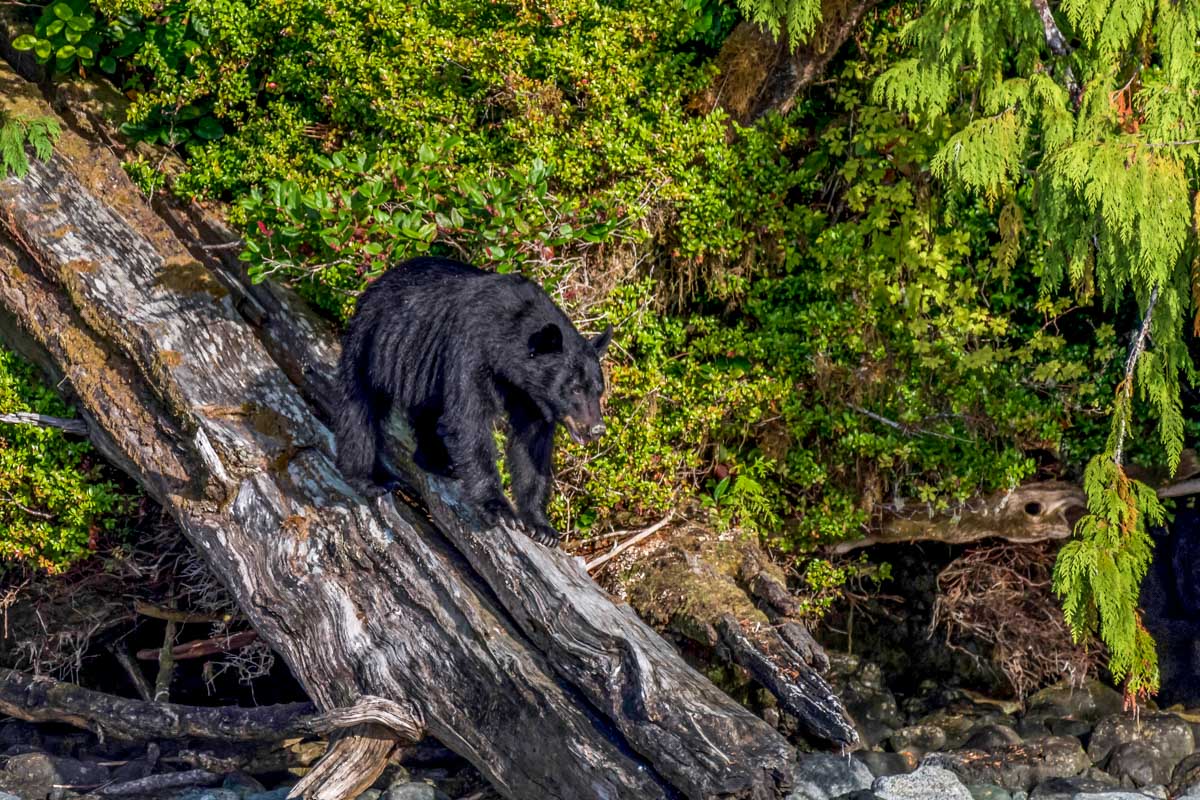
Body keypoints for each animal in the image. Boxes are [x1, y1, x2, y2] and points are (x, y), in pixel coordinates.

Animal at [335, 255, 612, 546]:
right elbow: (468, 421)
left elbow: (531, 446)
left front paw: (541, 525)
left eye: (598, 390)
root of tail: (377, 282)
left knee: (426, 413)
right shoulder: (471, 350)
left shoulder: (531, 395)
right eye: (575, 389)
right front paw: (500, 509)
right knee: (359, 407)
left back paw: (436, 461)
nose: (596, 428)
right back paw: (369, 479)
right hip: (372, 341)